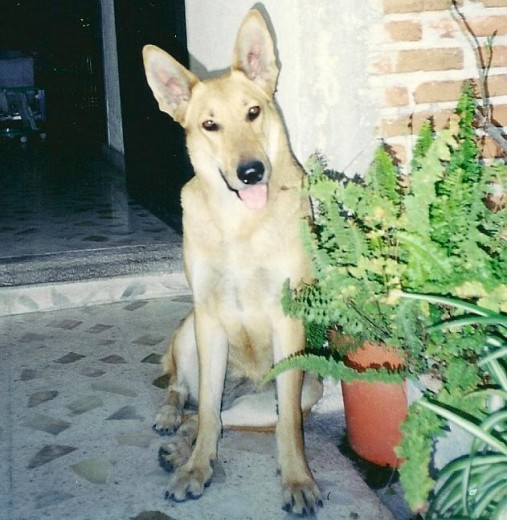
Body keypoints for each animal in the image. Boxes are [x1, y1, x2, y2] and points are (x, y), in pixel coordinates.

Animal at [143, 9, 324, 516]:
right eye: (210, 125)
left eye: (253, 112)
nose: (251, 172)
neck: (242, 226)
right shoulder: (208, 318)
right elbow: (204, 410)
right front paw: (197, 470)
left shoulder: (288, 322)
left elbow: (288, 428)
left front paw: (297, 479)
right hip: (190, 335)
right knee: (185, 394)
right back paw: (172, 426)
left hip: (302, 390)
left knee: (234, 417)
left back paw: (178, 446)